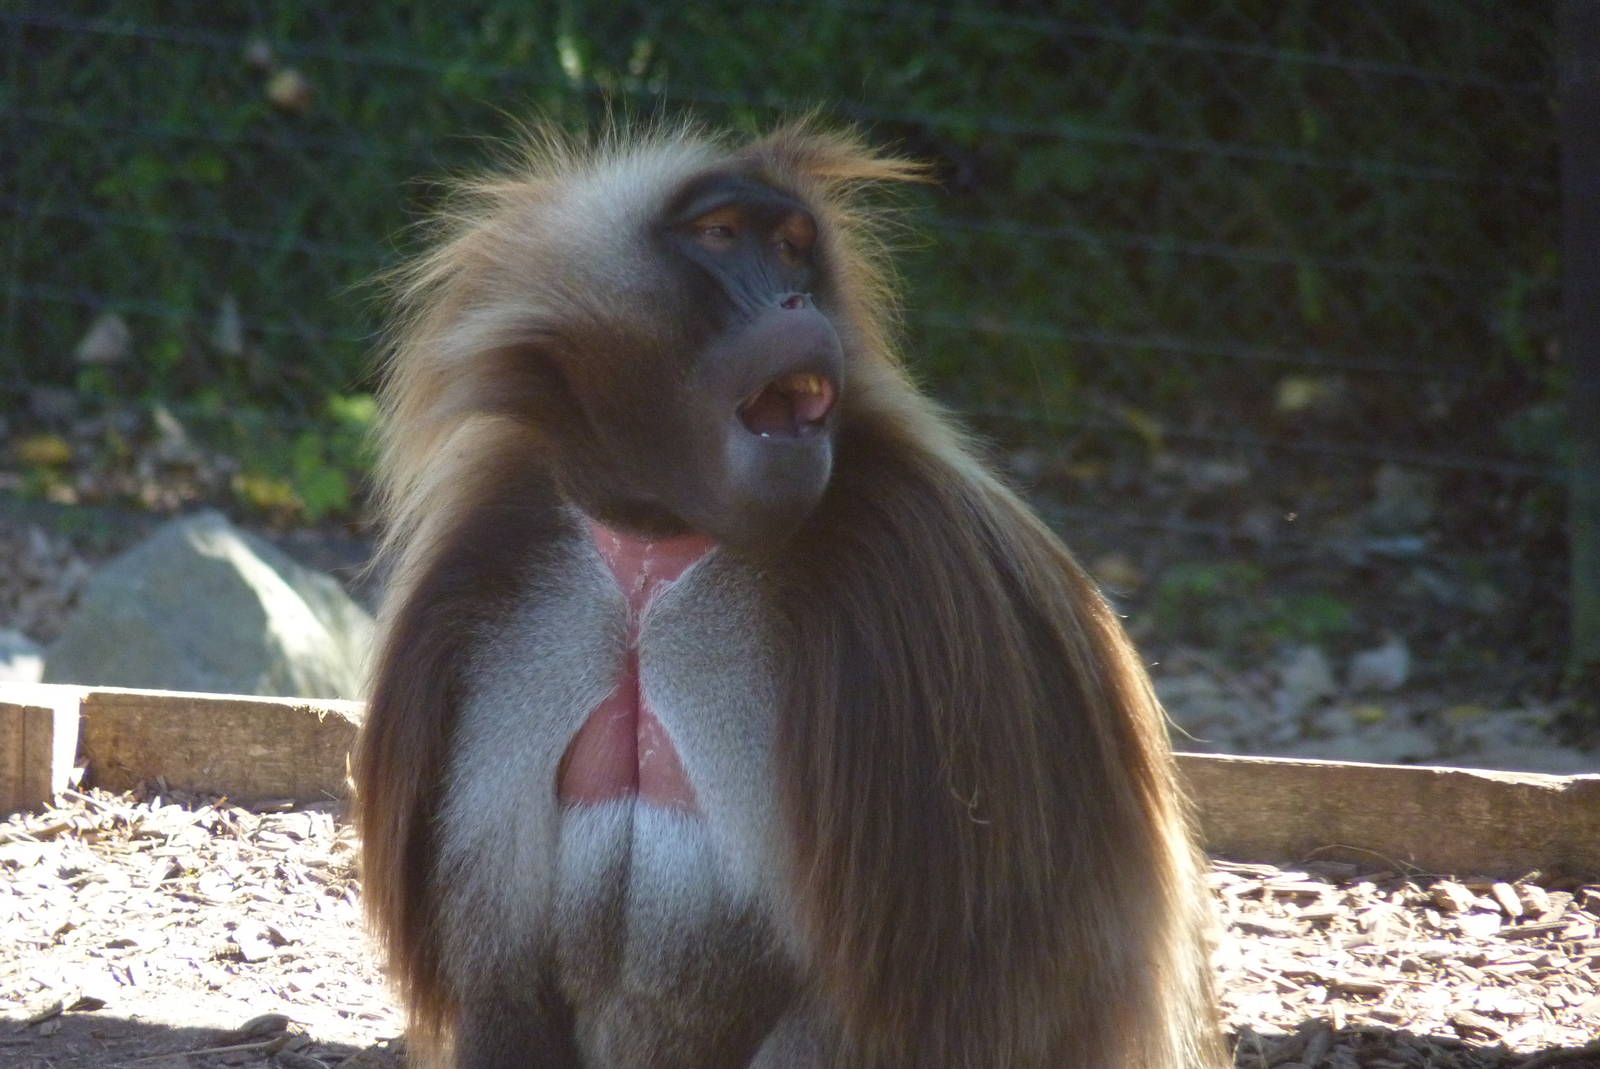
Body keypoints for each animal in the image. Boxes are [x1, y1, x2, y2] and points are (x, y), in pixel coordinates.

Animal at [352, 118, 1225, 1069]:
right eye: (721, 235)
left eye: (794, 248)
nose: (795, 305)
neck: (658, 542)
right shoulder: (494, 570)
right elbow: (499, 982)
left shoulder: (940, 586)